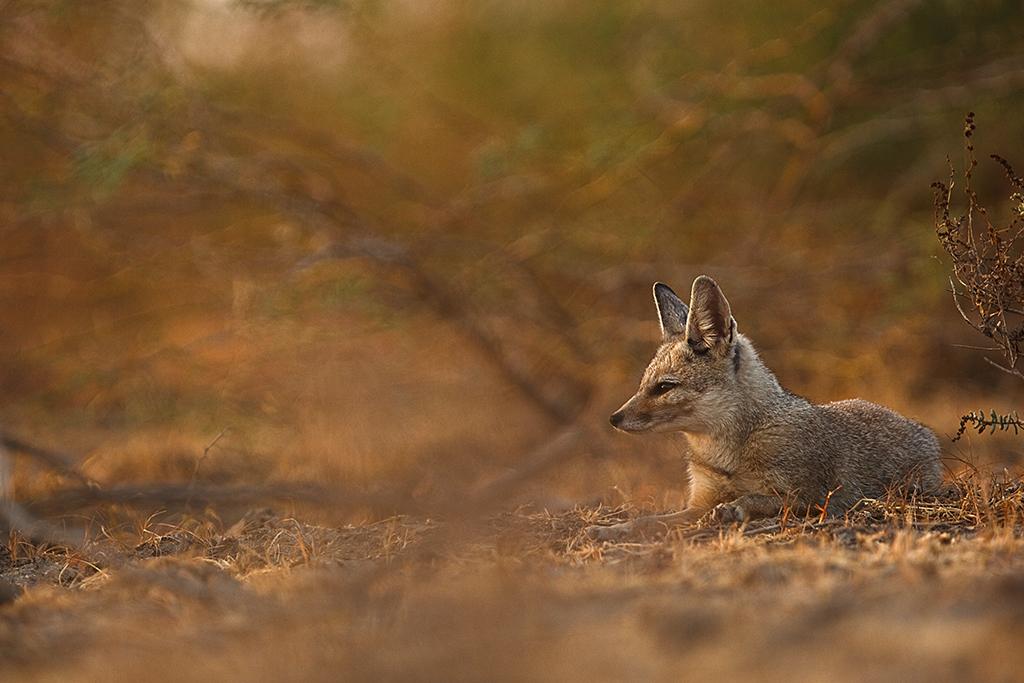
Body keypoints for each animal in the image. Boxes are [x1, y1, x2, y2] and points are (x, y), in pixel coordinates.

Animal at [589, 275, 942, 540]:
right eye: (643, 384)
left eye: (664, 387)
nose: (614, 418)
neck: (727, 453)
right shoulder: (698, 501)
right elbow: (650, 521)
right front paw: (612, 528)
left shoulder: (814, 499)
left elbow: (759, 498)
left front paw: (735, 508)